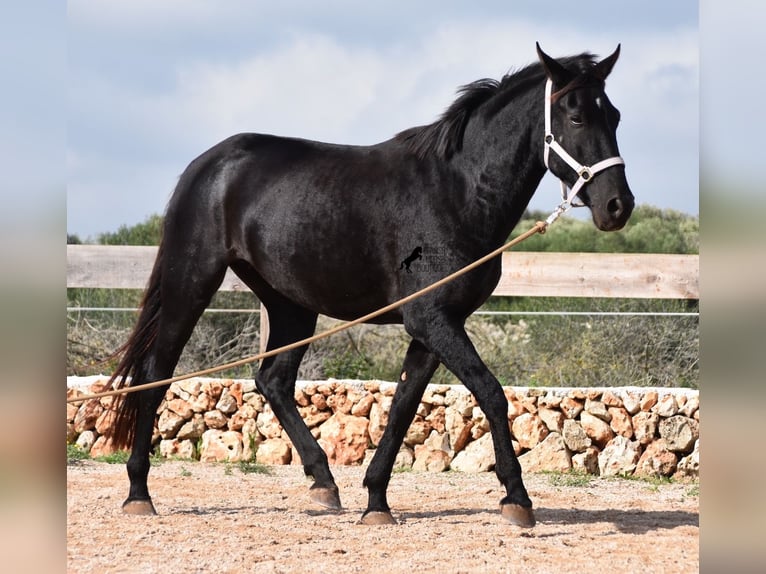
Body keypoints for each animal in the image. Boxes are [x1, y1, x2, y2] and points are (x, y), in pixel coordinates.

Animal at [106, 46, 636, 532]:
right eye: (576, 115)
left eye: (614, 115)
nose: (618, 206)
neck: (456, 191)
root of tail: (206, 164)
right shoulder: (432, 320)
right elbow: (490, 392)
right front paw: (517, 499)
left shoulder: (434, 326)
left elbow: (403, 406)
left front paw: (376, 500)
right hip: (192, 283)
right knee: (155, 375)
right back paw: (138, 493)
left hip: (291, 304)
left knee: (273, 380)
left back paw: (324, 484)